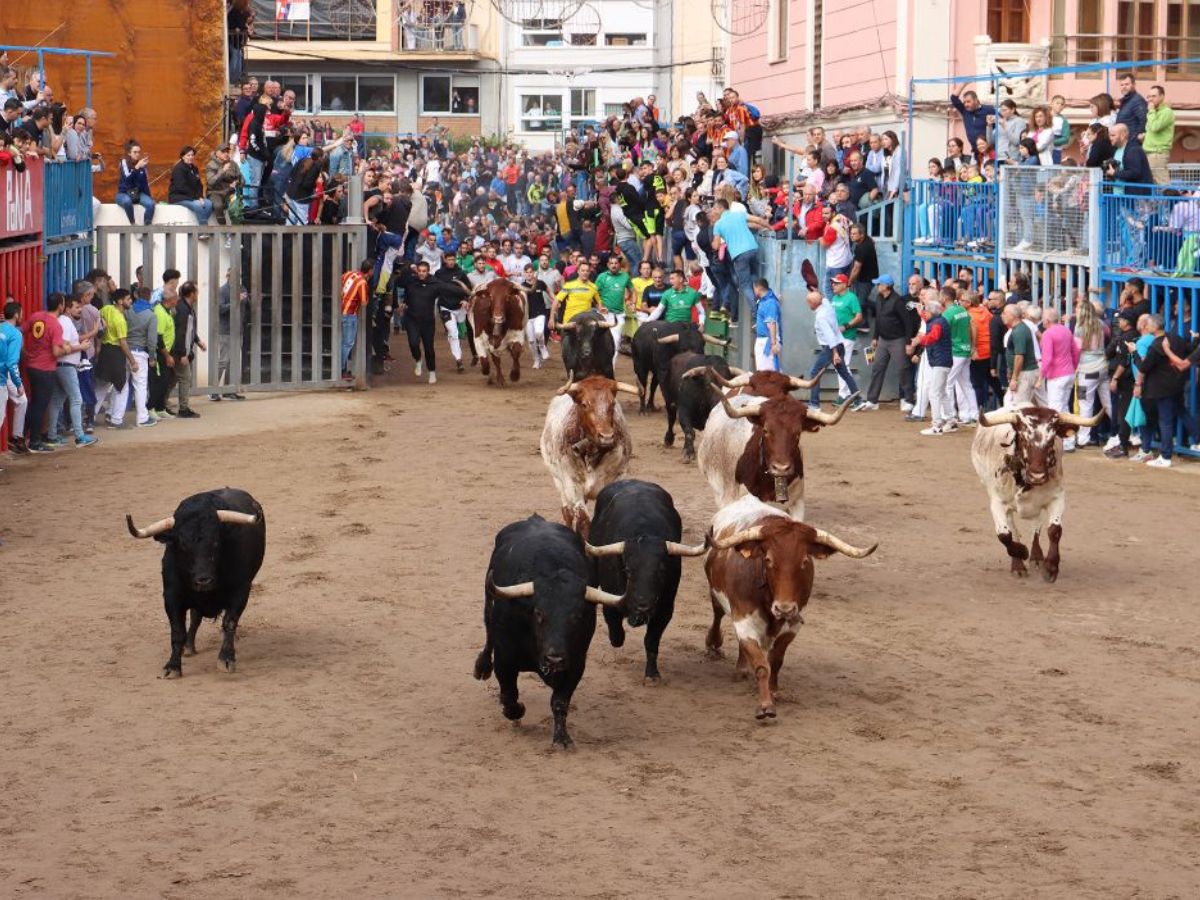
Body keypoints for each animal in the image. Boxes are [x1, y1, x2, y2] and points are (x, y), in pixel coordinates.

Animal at [540, 374, 643, 535]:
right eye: (584, 404)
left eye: (612, 403)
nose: (606, 437)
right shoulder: (572, 484)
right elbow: (583, 520)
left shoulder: (618, 477)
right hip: (558, 481)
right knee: (567, 512)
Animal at [705, 494, 878, 720]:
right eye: (768, 559)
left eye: (804, 561)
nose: (784, 609)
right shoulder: (744, 619)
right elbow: (761, 665)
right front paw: (765, 705)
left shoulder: (793, 625)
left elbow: (775, 661)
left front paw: (774, 691)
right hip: (716, 596)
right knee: (717, 615)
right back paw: (715, 645)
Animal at [969, 403, 1099, 585]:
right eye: (1023, 438)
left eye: (1051, 440)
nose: (1037, 475)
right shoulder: (997, 503)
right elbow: (1004, 535)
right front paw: (1021, 553)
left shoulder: (1057, 497)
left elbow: (1054, 530)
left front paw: (1051, 567)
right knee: (1013, 530)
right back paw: (1018, 564)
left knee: (1036, 525)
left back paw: (1037, 556)